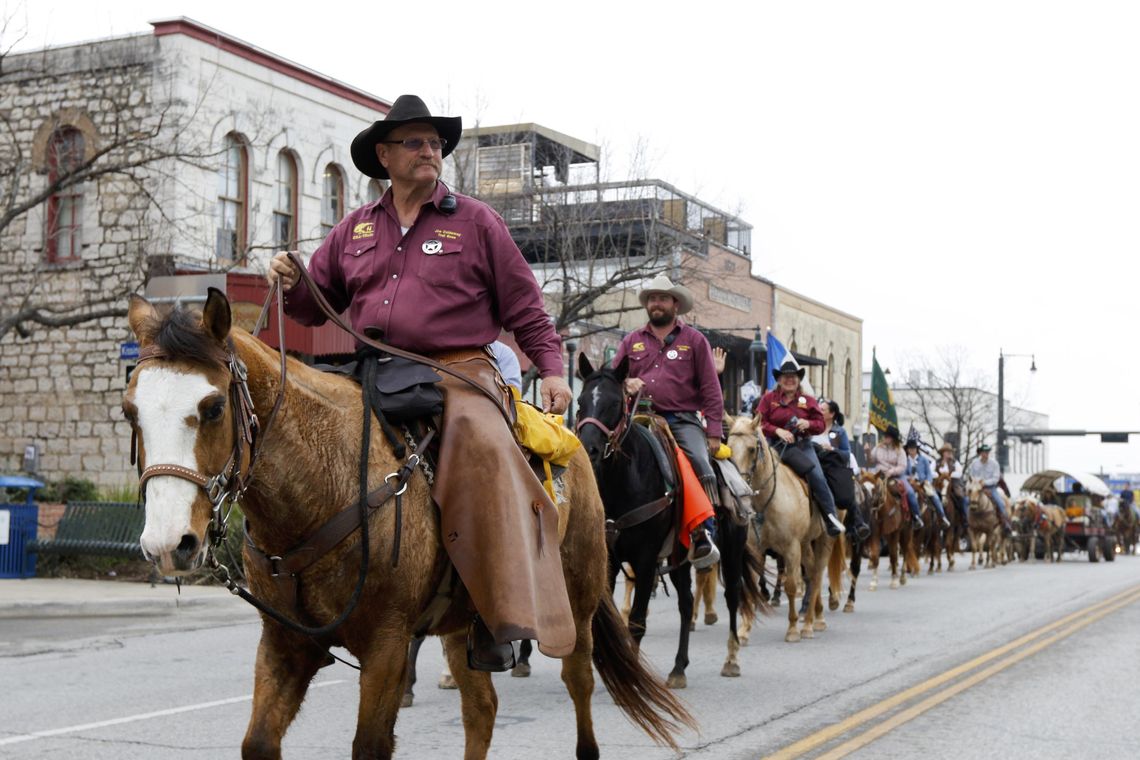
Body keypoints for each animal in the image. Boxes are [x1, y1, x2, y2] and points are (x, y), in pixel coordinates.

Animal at [124, 288, 693, 756]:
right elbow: (259, 742)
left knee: (580, 688)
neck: (325, 485)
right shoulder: (285, 644)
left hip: (575, 605)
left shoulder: (387, 645)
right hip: (467, 622)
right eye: (131, 411)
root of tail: (570, 439)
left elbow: (370, 745)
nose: (168, 544)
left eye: (214, 407)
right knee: (481, 710)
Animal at [574, 355, 761, 683]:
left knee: (732, 596)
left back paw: (731, 659)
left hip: (732, 550)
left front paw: (632, 676)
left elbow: (636, 621)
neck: (625, 480)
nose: (589, 447)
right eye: (581, 401)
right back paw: (679, 668)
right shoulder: (609, 557)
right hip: (679, 556)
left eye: (615, 403)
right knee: (686, 603)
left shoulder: (646, 559)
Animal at [725, 417, 834, 642]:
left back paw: (809, 624)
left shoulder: (791, 548)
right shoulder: (756, 549)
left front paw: (792, 629)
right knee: (811, 574)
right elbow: (752, 583)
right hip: (806, 544)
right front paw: (744, 630)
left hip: (823, 541)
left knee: (817, 576)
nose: (738, 490)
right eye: (729, 448)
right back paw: (815, 617)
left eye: (751, 449)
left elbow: (791, 586)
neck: (767, 502)